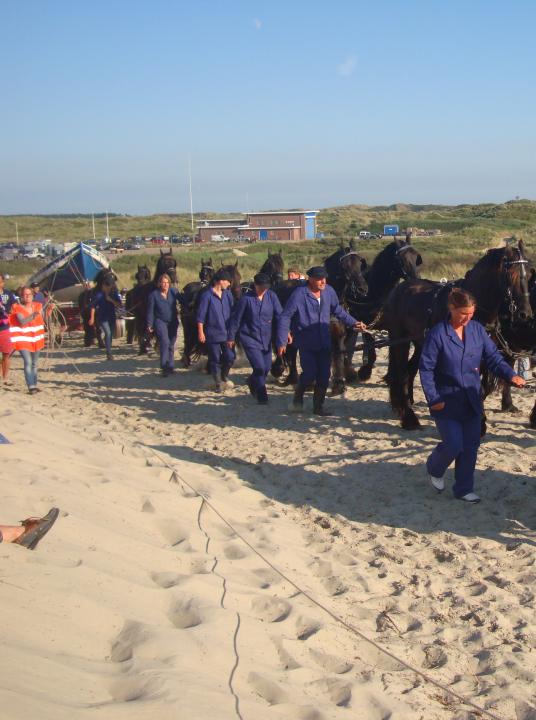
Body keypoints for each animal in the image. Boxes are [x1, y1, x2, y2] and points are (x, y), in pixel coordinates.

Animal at [382, 239, 532, 430]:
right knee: (401, 373)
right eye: (511, 275)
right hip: (399, 340)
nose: (525, 313)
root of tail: (399, 289)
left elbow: (482, 386)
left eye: (529, 273)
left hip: (420, 342)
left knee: (410, 370)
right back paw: (409, 417)